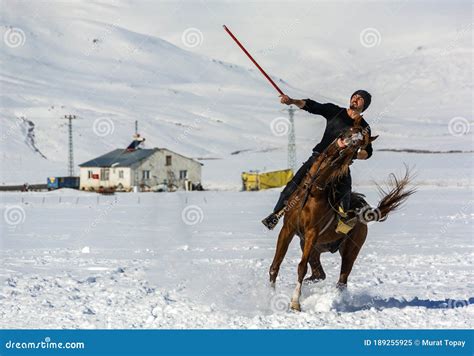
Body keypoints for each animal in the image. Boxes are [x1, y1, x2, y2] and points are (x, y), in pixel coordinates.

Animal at [270, 126, 414, 312]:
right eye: (349, 131)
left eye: (360, 145)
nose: (346, 146)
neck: (314, 192)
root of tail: (365, 214)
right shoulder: (288, 229)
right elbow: (276, 264)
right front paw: (270, 296)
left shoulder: (311, 233)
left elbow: (301, 267)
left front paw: (295, 302)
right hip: (314, 247)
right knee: (319, 274)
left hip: (349, 251)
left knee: (341, 281)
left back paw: (336, 300)